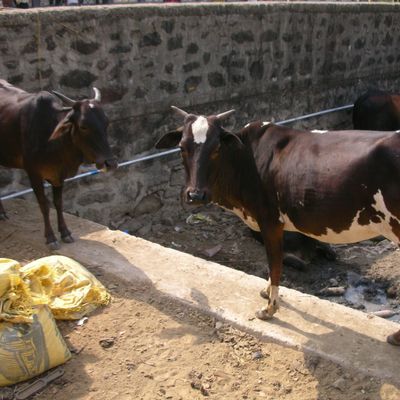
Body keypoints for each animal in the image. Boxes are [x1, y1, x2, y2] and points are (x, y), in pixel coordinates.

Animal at [0, 80, 118, 250]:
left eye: (106, 123)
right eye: (83, 126)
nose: (110, 163)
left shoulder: (58, 175)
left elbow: (58, 203)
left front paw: (65, 232)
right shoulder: (33, 173)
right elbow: (44, 204)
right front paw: (50, 237)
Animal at [157, 107, 400, 346]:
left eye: (216, 147)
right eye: (181, 147)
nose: (195, 195)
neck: (246, 160)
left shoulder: (270, 220)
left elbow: (275, 264)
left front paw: (269, 310)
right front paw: (266, 293)